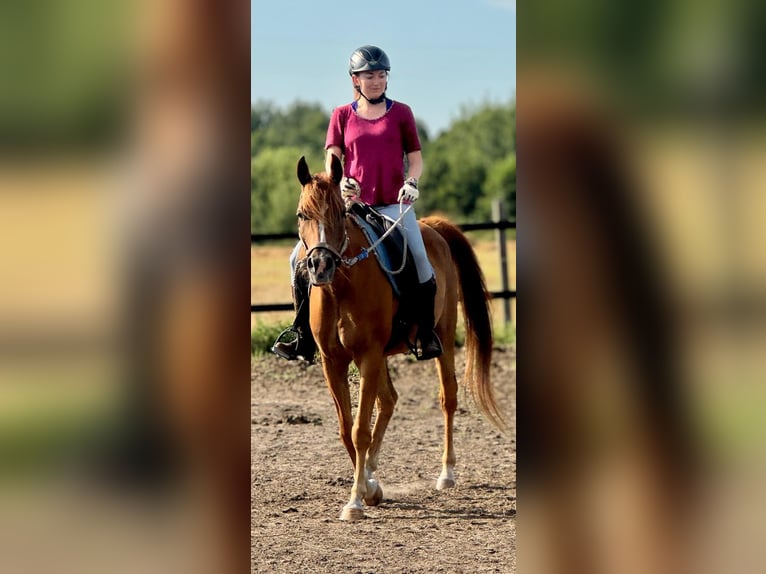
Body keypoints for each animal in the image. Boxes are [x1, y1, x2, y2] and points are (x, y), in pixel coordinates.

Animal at [295, 154, 505, 521]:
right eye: (302, 215)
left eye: (338, 213)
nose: (320, 266)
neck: (341, 286)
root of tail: (432, 227)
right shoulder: (332, 361)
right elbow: (346, 428)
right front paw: (369, 487)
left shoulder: (367, 355)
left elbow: (359, 430)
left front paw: (355, 500)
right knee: (389, 400)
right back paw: (374, 472)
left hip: (442, 335)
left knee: (448, 397)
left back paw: (447, 472)